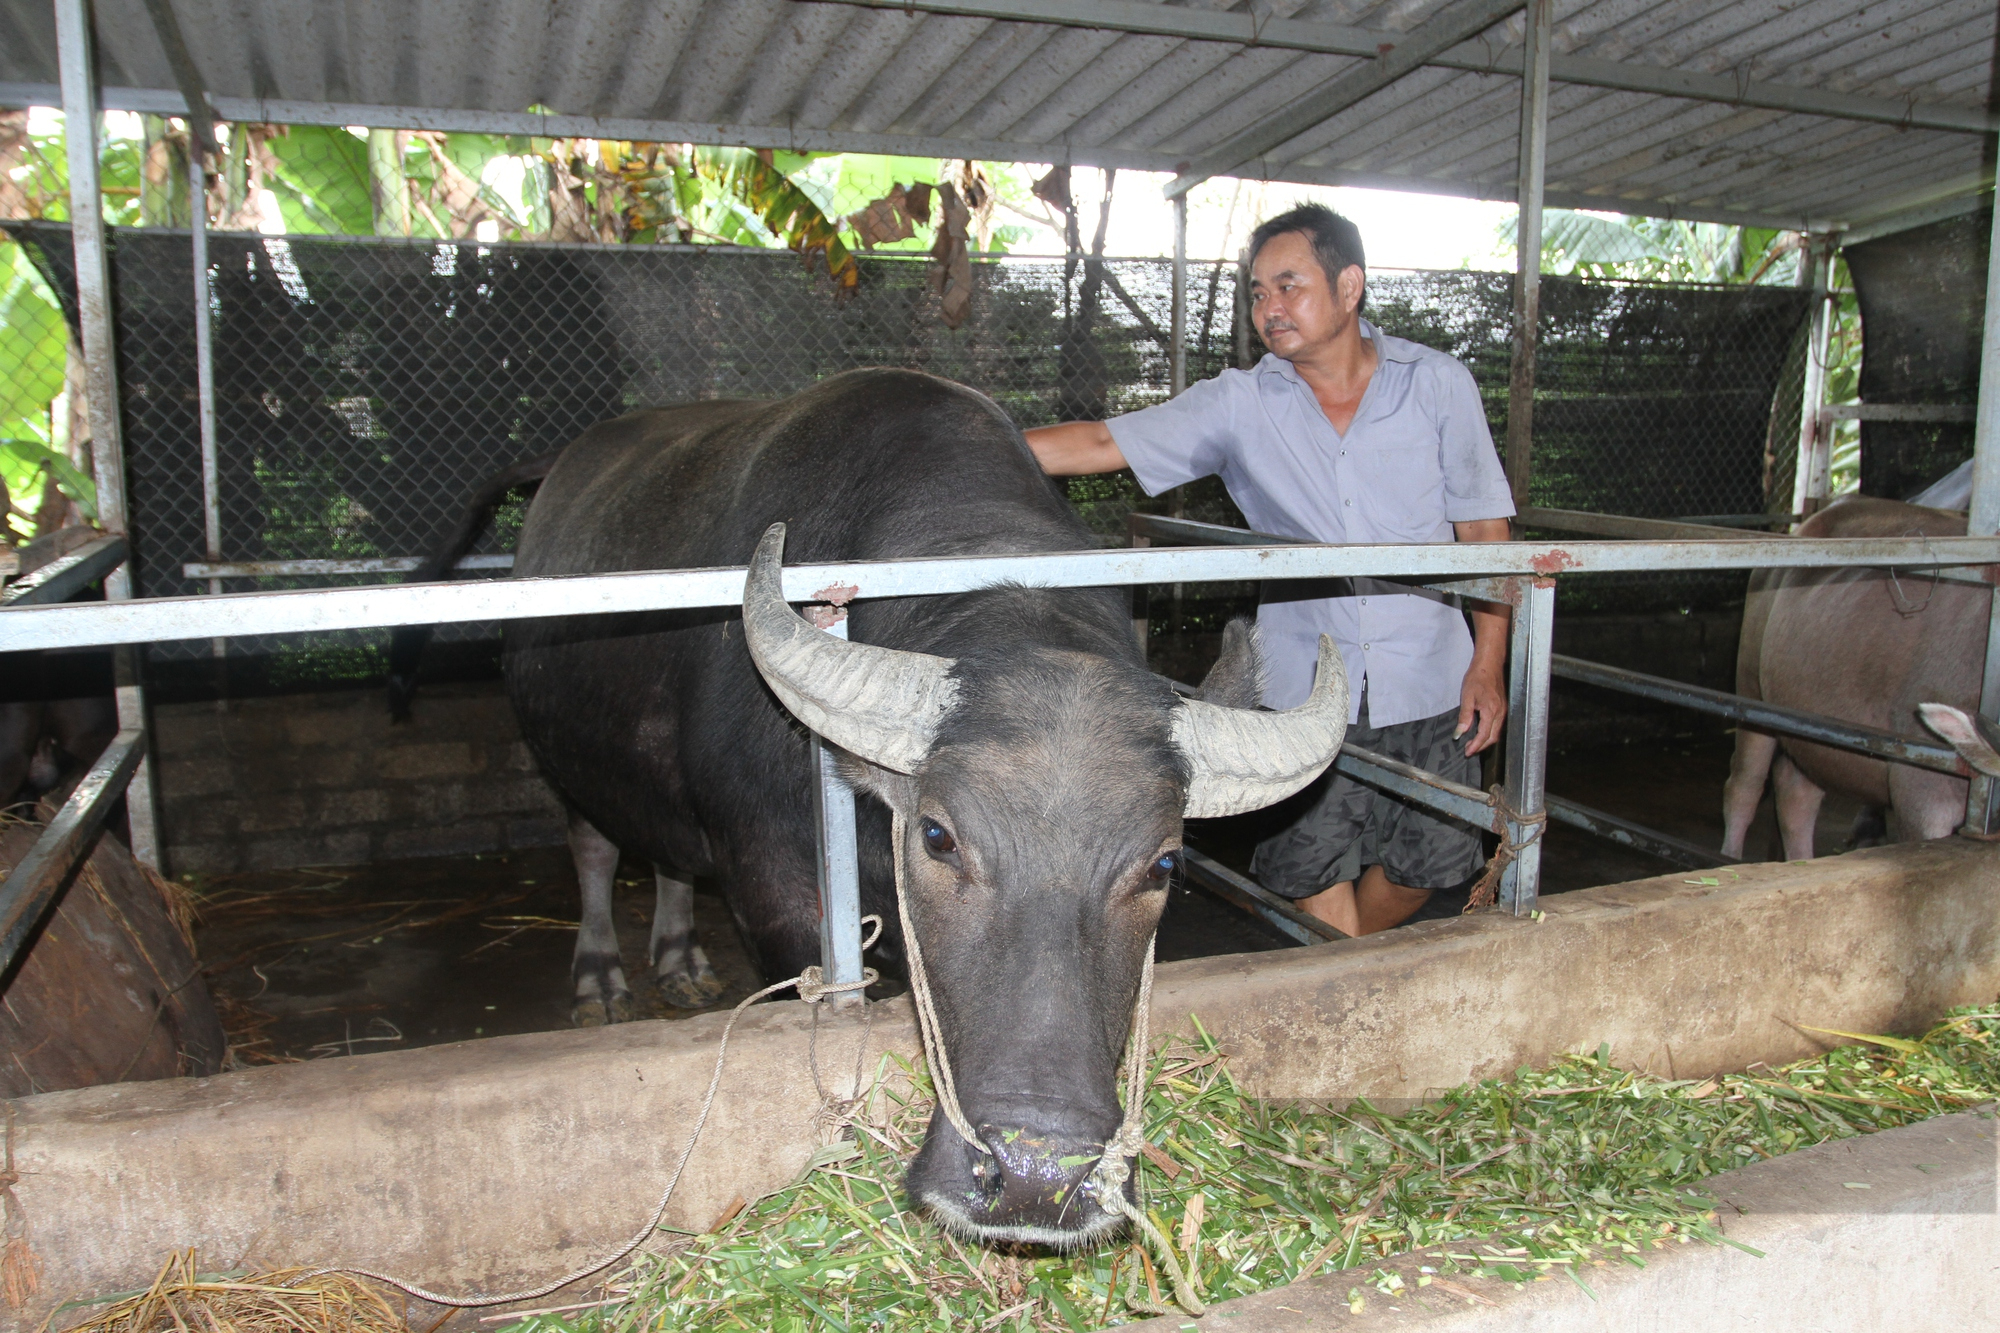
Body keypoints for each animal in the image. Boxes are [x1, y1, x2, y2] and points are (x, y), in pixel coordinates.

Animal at [394, 368, 1344, 1240]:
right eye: (938, 836)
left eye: (1164, 862)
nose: (1038, 1175)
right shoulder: (777, 889)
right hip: (566, 751)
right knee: (595, 846)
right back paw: (601, 978)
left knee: (667, 854)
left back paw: (680, 959)